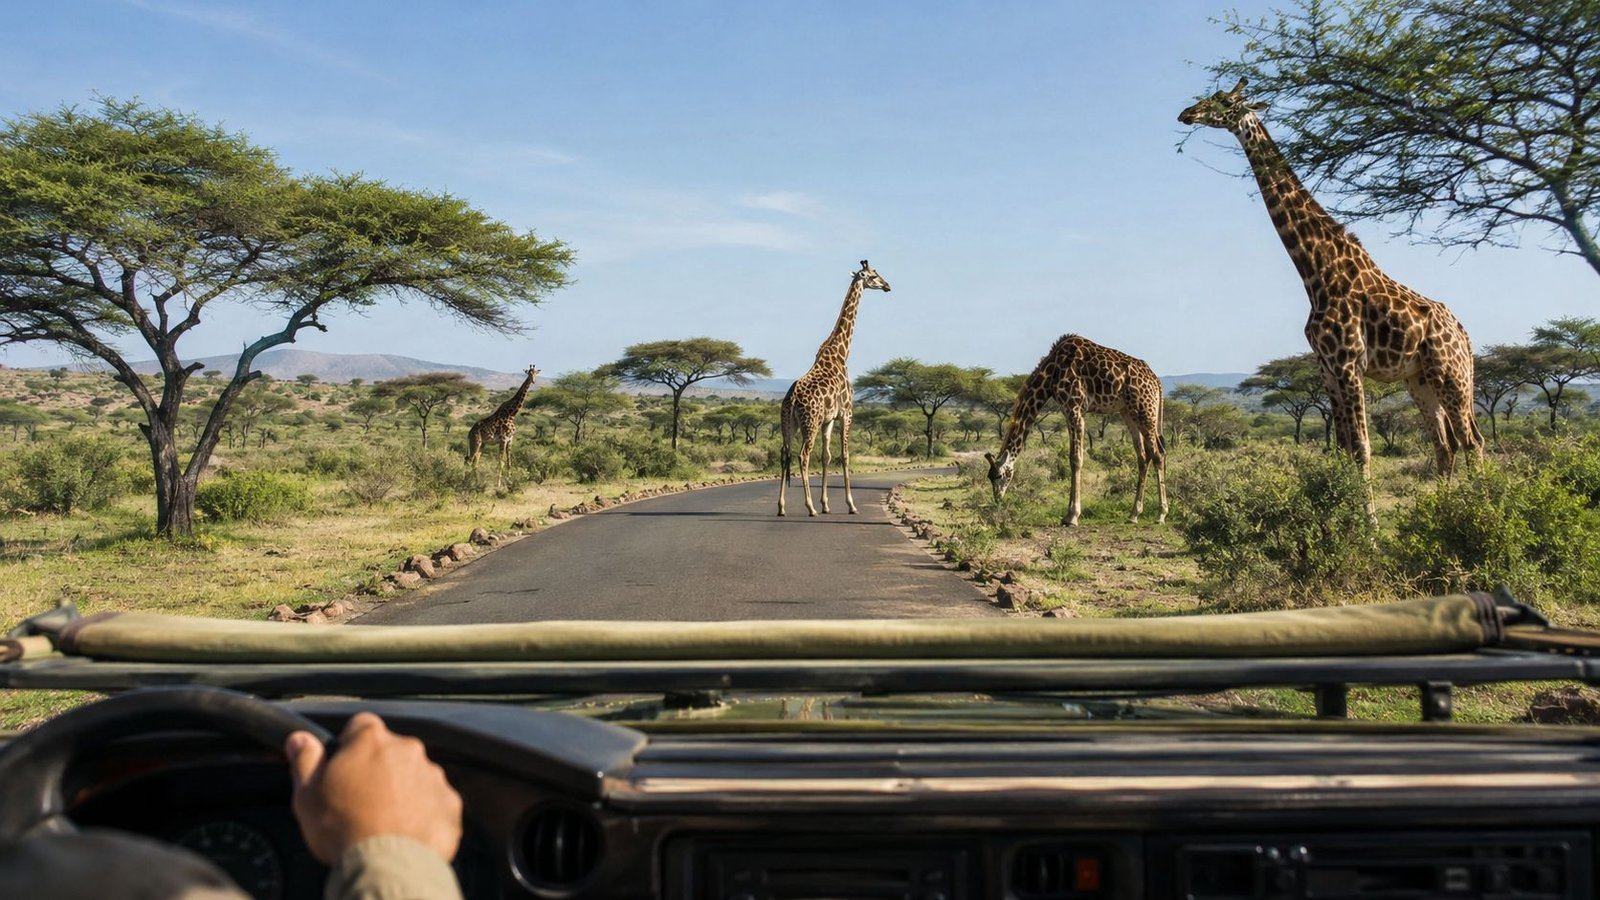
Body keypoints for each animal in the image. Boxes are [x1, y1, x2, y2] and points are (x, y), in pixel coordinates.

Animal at [778, 260, 892, 517]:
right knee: (802, 455)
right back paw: (809, 507)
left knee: (784, 453)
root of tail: (792, 398)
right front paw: (850, 504)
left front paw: (826, 504)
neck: (842, 352)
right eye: (873, 275)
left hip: (789, 423)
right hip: (810, 422)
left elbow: (826, 456)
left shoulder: (828, 420)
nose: (888, 286)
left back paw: (781, 507)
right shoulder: (847, 413)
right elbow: (845, 455)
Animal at [986, 334, 1167, 526]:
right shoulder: (1067, 410)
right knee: (1143, 457)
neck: (1050, 375)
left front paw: (1072, 516)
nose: (997, 499)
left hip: (1145, 410)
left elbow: (1076, 459)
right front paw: (1067, 515)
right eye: (989, 476)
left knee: (1158, 454)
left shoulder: (1075, 408)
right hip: (1129, 412)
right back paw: (1134, 514)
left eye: (999, 476)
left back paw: (1161, 514)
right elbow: (1072, 458)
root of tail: (1157, 382)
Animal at [1178, 78, 1483, 507]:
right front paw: (1344, 514)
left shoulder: (1348, 362)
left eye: (1224, 101)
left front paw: (1368, 523)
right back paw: (1442, 509)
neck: (1317, 271)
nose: (1186, 113)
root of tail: (1464, 335)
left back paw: (1483, 505)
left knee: (1472, 440)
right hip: (1419, 380)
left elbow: (1363, 448)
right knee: (1445, 443)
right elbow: (1342, 447)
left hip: (1451, 375)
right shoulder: (1326, 367)